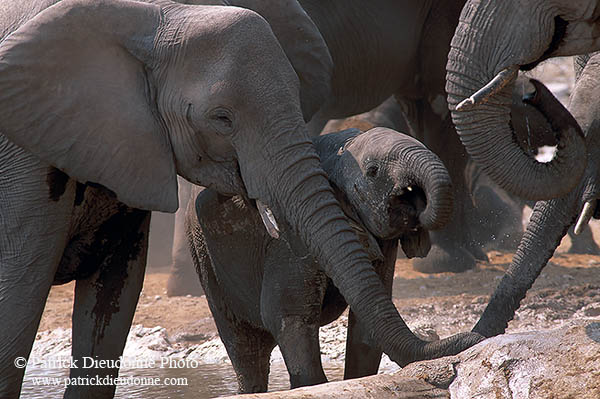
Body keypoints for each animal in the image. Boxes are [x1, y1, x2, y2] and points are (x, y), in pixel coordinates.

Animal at [189, 128, 460, 394]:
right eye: (373, 171)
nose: (417, 201)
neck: (339, 149)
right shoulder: (289, 237)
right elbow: (289, 313)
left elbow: (365, 325)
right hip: (204, 258)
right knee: (244, 348)